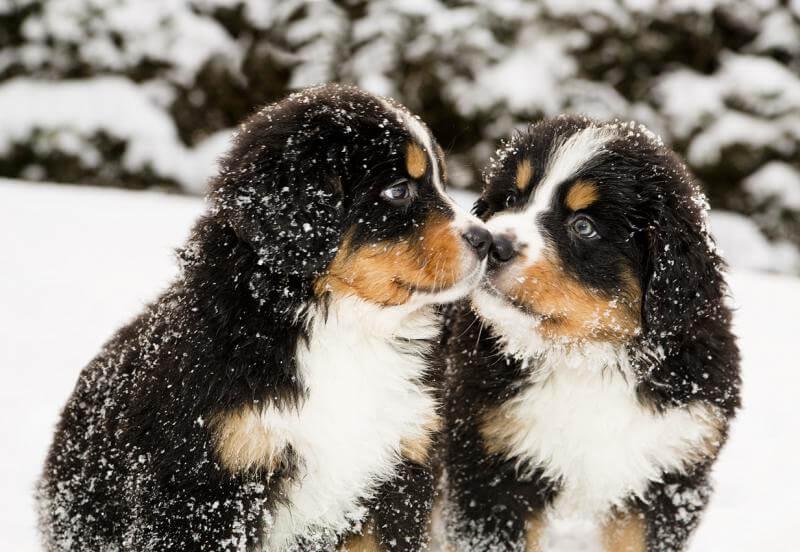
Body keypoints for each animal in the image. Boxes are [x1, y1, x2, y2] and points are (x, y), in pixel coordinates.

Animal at [37, 83, 490, 552]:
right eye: (399, 190)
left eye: (441, 181)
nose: (487, 241)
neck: (344, 328)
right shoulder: (208, 487)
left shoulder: (398, 476)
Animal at [440, 116, 740, 552]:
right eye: (511, 198)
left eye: (584, 226)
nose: (494, 243)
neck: (586, 358)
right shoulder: (492, 469)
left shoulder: (669, 474)